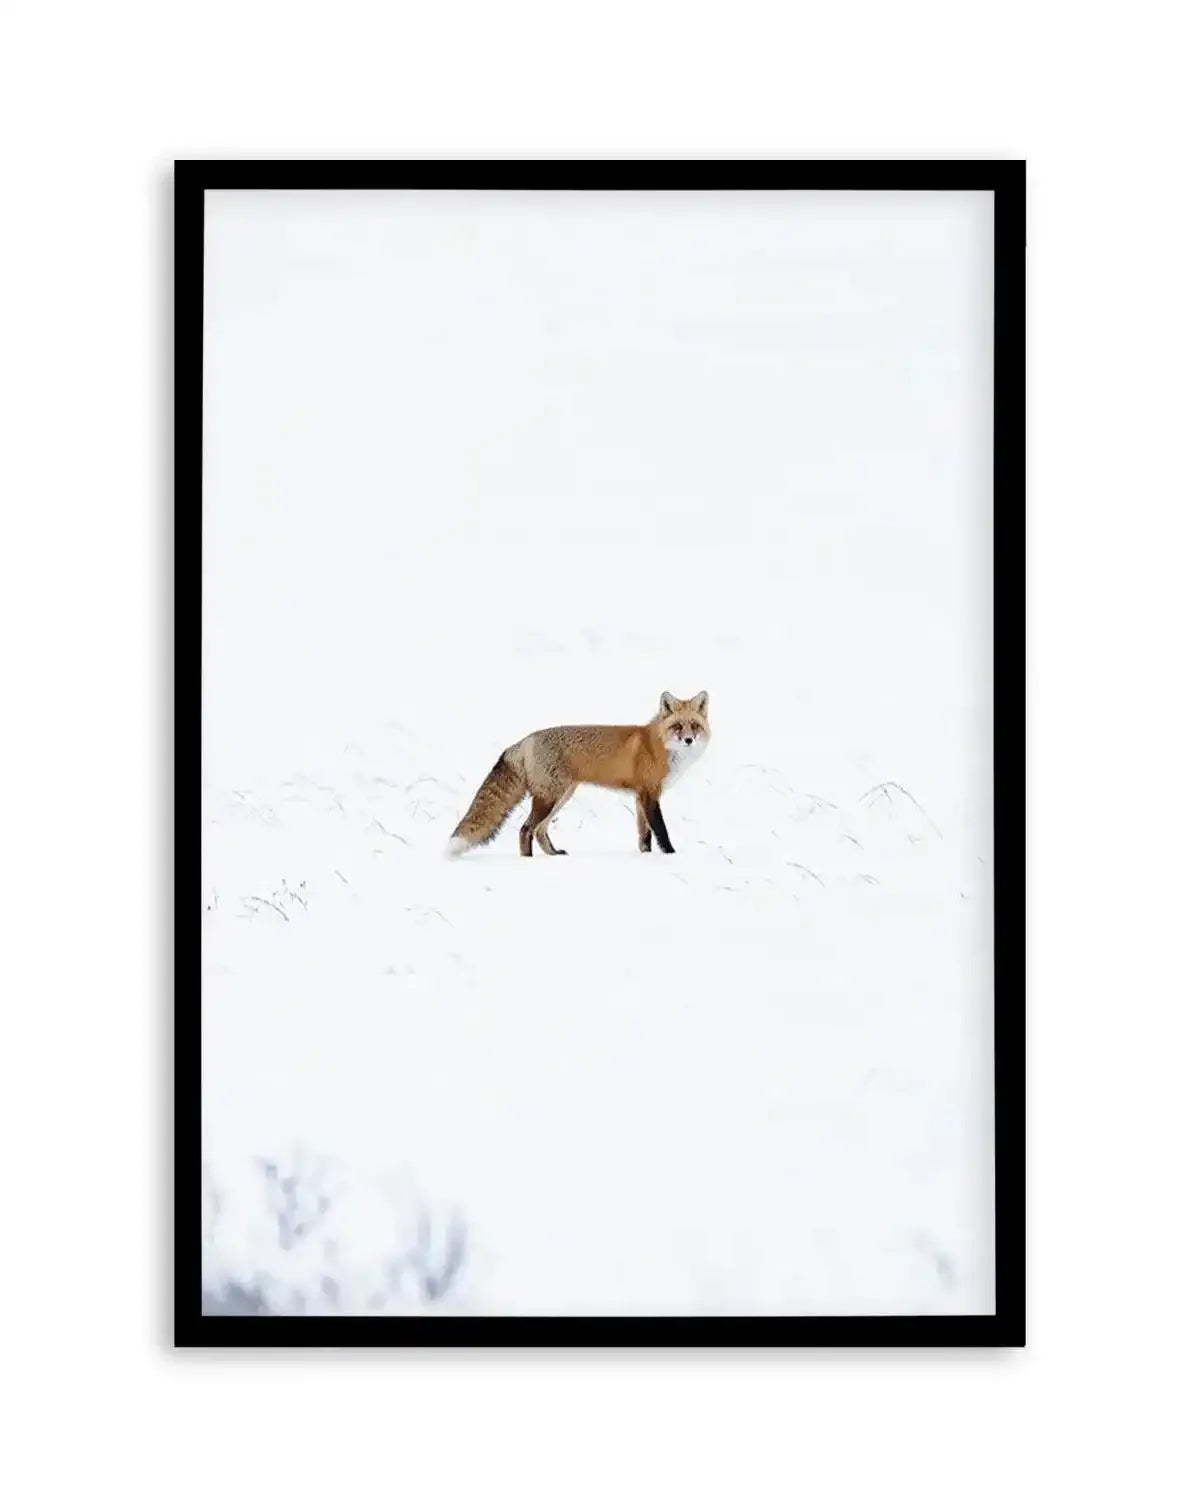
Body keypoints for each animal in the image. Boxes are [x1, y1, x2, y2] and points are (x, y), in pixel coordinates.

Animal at [447, 690, 710, 857]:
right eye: (677, 726)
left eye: (694, 726)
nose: (688, 740)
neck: (660, 746)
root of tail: (526, 740)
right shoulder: (650, 794)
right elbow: (661, 831)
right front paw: (670, 855)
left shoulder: (640, 797)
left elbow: (644, 836)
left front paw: (646, 857)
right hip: (550, 797)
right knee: (526, 829)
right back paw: (528, 861)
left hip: (561, 796)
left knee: (539, 830)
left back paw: (554, 854)